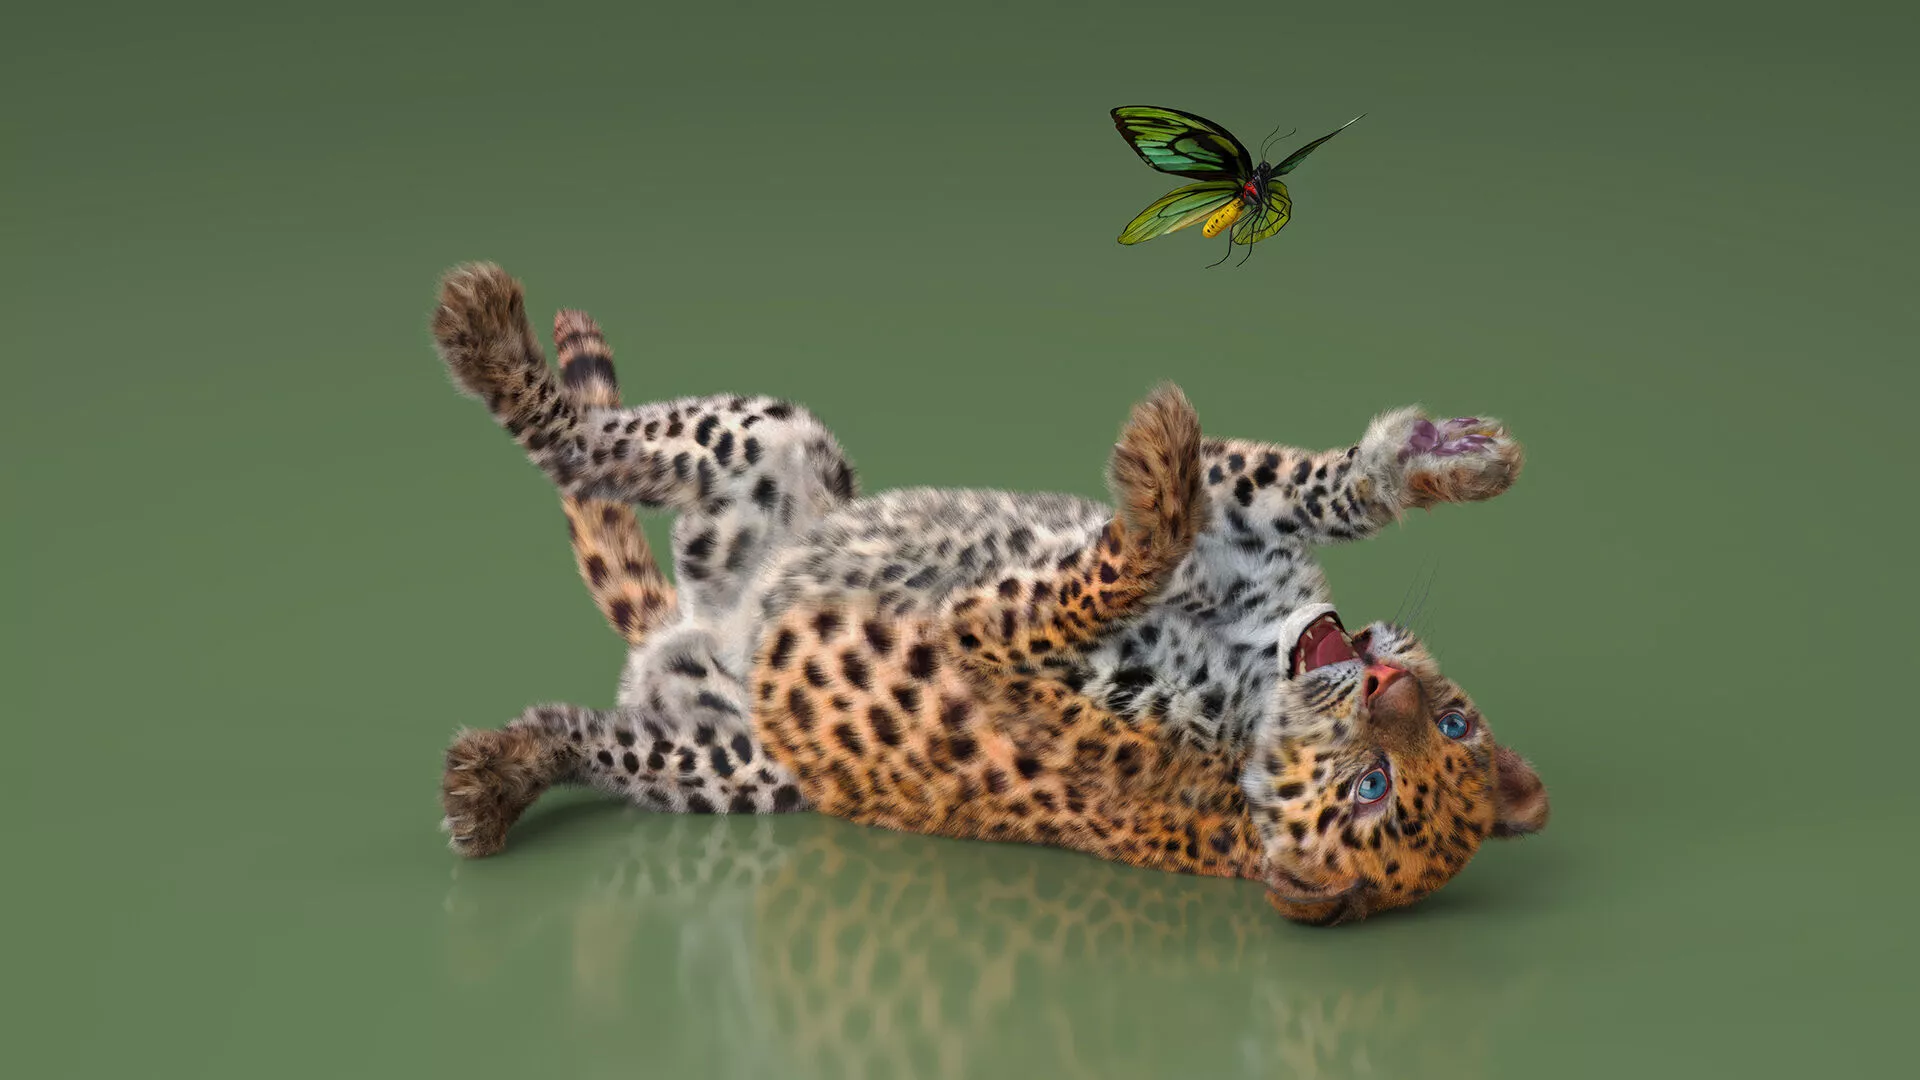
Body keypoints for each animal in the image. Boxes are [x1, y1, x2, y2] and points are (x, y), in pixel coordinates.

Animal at [428, 262, 1550, 926]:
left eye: (1375, 790)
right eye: (1455, 724)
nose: (1390, 688)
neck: (1259, 676)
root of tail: (708, 632)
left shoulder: (991, 637)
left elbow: (1107, 568)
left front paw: (1154, 477)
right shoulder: (1248, 537)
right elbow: (1295, 487)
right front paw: (1441, 461)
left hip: (737, 764)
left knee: (595, 723)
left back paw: (497, 773)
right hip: (770, 445)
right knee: (588, 442)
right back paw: (496, 338)